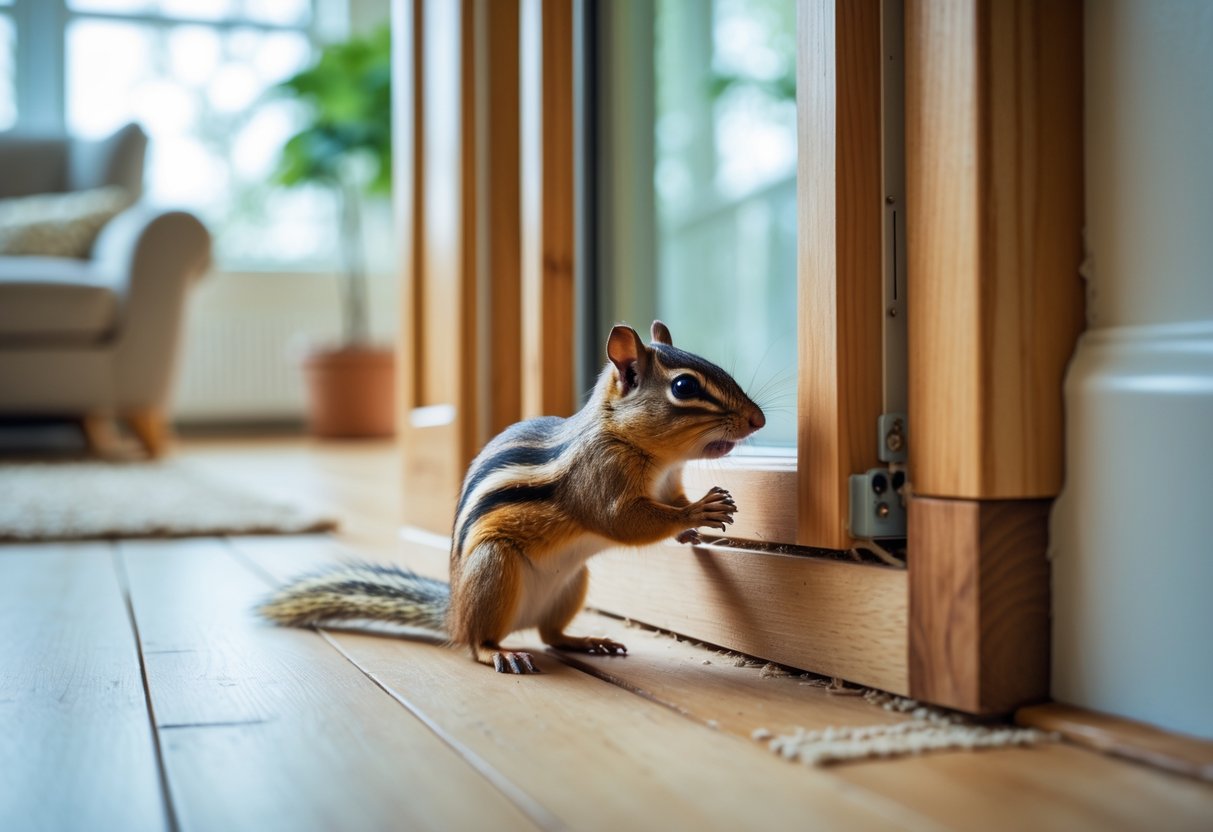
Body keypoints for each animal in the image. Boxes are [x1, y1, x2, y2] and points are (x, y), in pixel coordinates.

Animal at [258, 320, 766, 673]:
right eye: (684, 386)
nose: (758, 420)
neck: (652, 456)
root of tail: (454, 613)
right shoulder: (599, 479)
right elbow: (622, 522)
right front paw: (699, 511)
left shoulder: (668, 483)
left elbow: (668, 504)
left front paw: (695, 529)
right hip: (494, 568)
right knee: (477, 643)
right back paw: (499, 654)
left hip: (573, 582)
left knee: (551, 634)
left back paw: (587, 642)